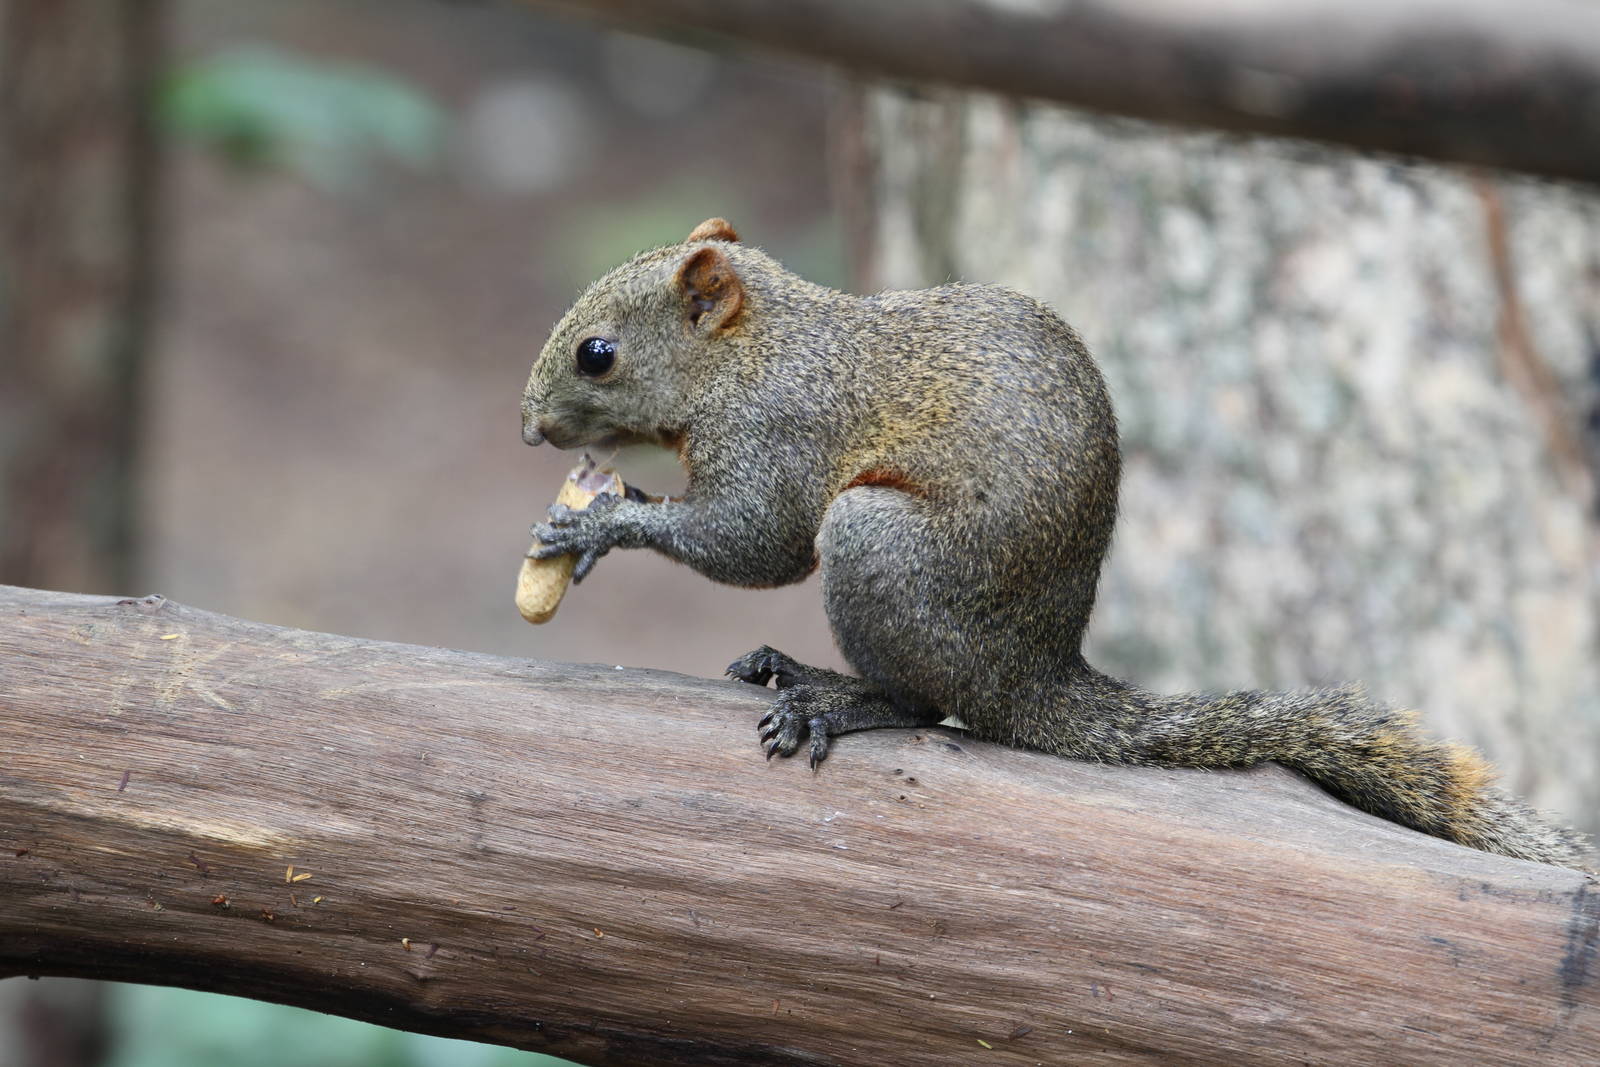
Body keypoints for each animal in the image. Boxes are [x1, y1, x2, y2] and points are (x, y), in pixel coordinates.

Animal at [522, 217, 1592, 872]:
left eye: (598, 354)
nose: (530, 428)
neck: (752, 351)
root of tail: (1035, 673)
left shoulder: (778, 434)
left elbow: (756, 543)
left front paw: (597, 521)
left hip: (881, 549)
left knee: (927, 702)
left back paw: (833, 695)